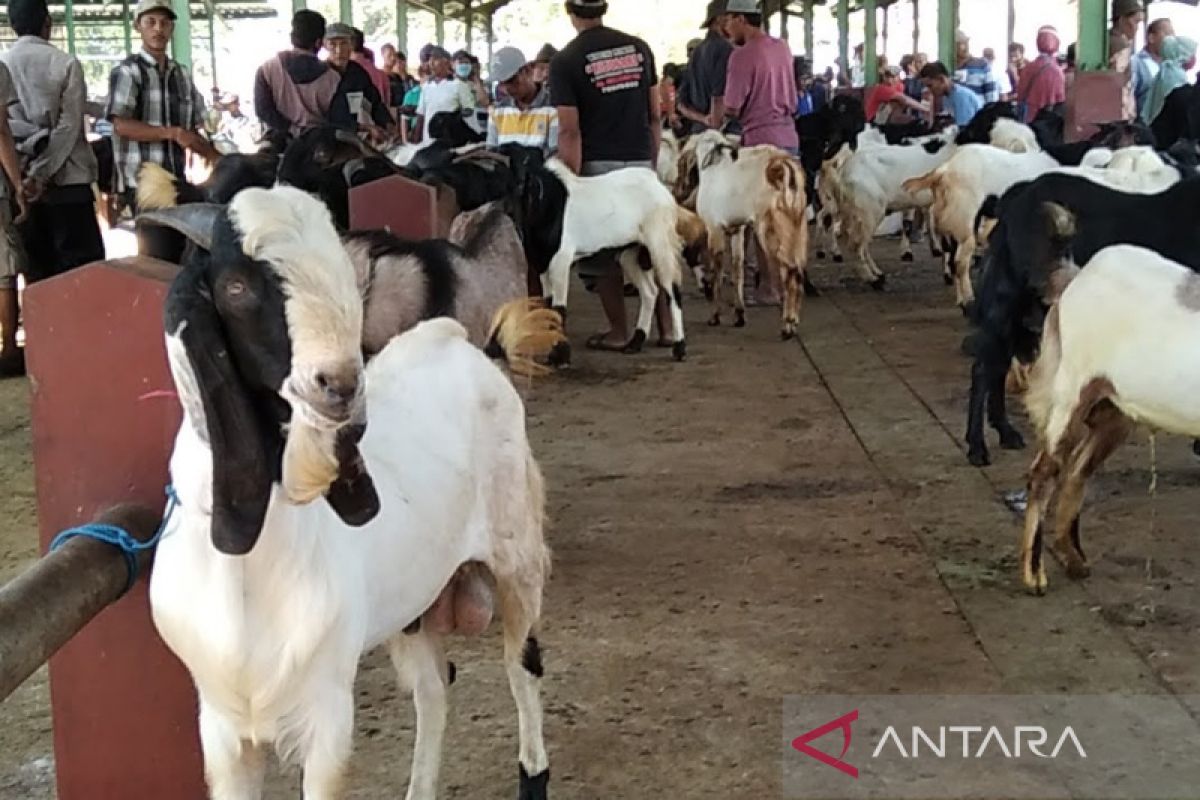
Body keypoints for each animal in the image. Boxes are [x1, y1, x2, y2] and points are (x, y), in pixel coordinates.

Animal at [146, 185, 552, 800]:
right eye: (236, 286)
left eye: (344, 276)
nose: (338, 385)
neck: (252, 571)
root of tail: (465, 346)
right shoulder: (221, 729)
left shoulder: (327, 717)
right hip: (417, 602)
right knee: (434, 687)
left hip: (517, 555)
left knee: (521, 662)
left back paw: (533, 773)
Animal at [960, 172, 1200, 465]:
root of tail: (1016, 197)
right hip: (1006, 303)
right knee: (984, 369)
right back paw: (977, 446)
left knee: (998, 365)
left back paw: (1006, 432)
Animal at [1022, 244, 1200, 594]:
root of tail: (1079, 277)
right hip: (1072, 390)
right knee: (1044, 473)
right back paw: (1035, 576)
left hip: (1113, 411)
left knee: (1077, 470)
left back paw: (1074, 561)